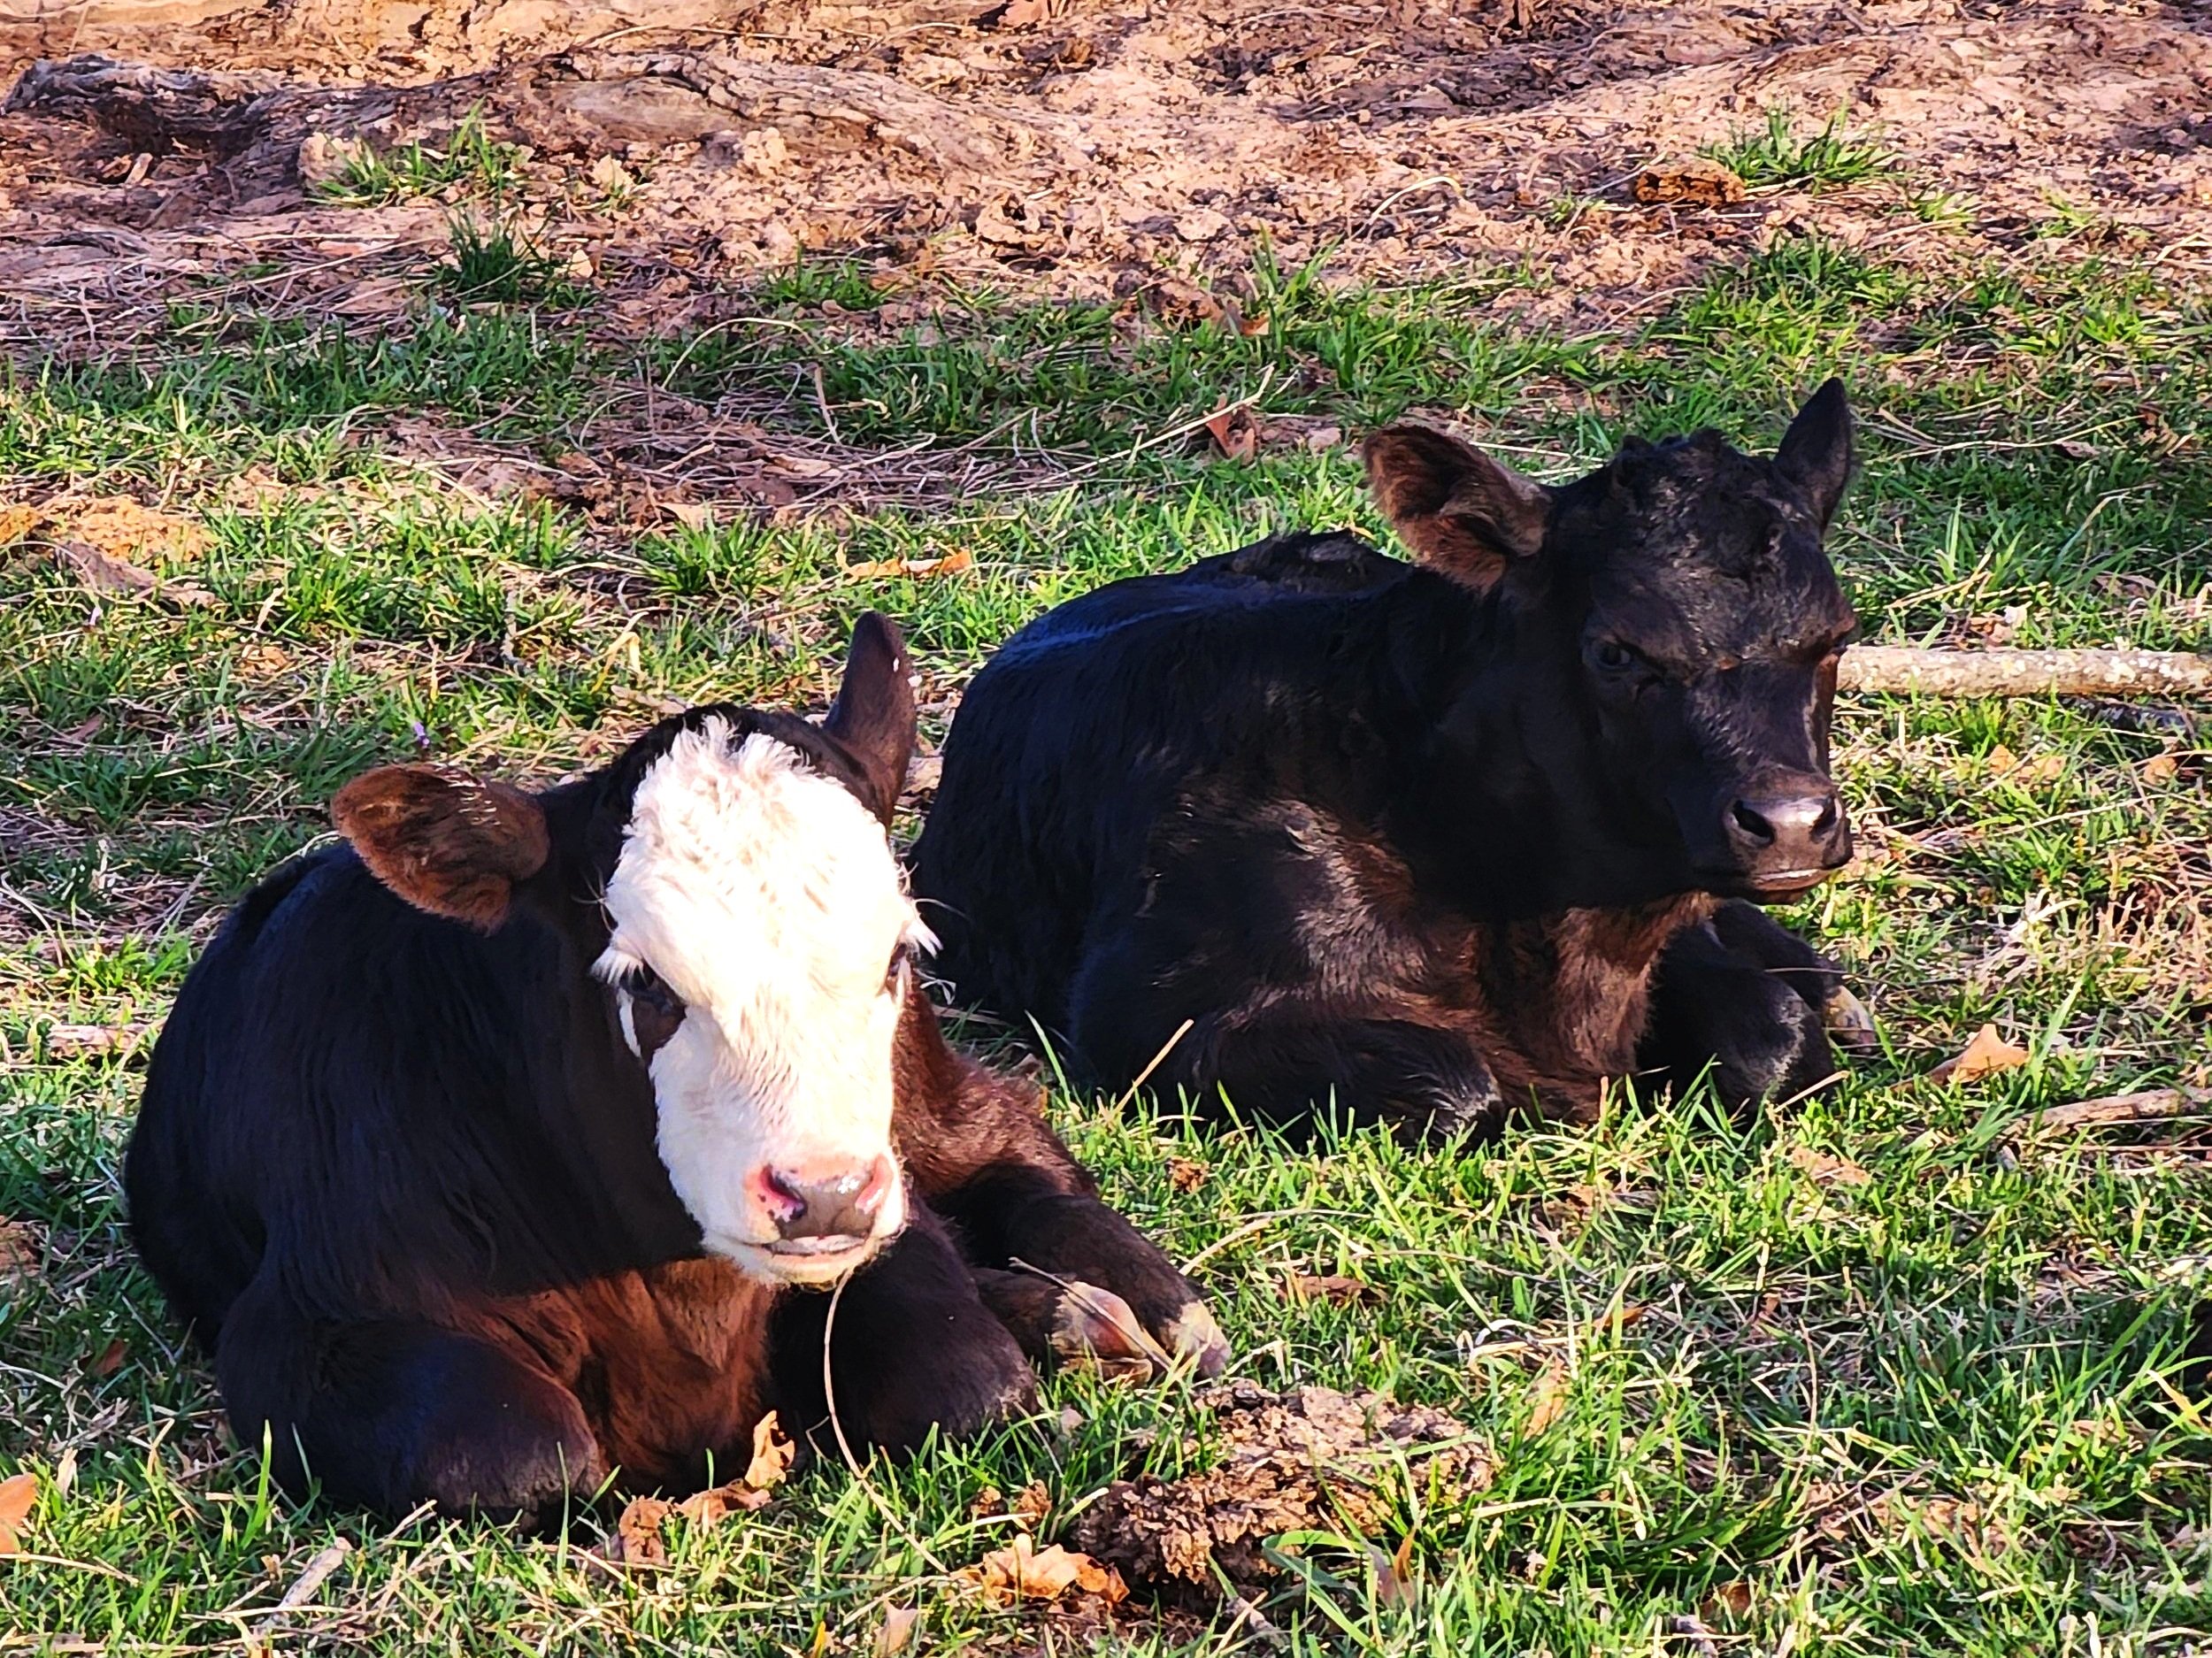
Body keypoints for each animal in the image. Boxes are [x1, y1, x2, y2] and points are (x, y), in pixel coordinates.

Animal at [125, 615, 1227, 1522]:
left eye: (896, 955)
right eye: (646, 981)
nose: (822, 1194)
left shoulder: (884, 1222)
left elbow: (963, 1379)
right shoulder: (302, 1323)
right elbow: (519, 1452)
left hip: (919, 1105)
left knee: (1007, 1134)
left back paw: (1140, 1302)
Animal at [910, 383, 1870, 1138]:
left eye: (1837, 636)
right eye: (1615, 650)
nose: (1790, 822)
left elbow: (1774, 1039)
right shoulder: (1147, 1015)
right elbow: (1462, 1085)